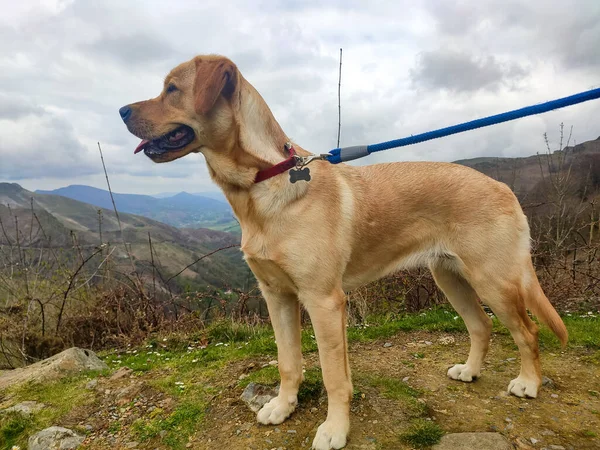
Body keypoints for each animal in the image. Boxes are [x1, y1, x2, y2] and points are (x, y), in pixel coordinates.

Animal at [119, 55, 568, 450]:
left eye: (172, 89)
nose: (121, 110)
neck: (260, 183)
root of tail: (504, 188)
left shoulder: (323, 301)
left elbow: (334, 377)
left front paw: (335, 430)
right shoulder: (277, 296)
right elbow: (288, 361)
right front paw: (282, 406)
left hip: (494, 280)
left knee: (527, 332)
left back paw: (529, 383)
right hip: (450, 278)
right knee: (482, 326)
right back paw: (471, 371)